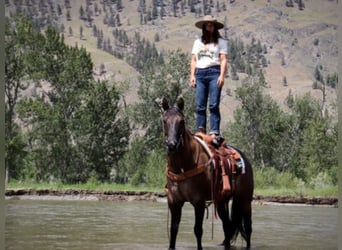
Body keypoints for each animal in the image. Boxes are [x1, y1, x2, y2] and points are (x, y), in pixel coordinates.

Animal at [161, 96, 254, 249]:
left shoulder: (198, 202)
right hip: (222, 201)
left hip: (244, 200)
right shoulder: (174, 201)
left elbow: (198, 230)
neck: (182, 166)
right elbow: (174, 229)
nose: (172, 145)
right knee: (227, 226)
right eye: (164, 120)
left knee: (248, 227)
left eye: (181, 121)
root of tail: (244, 158)